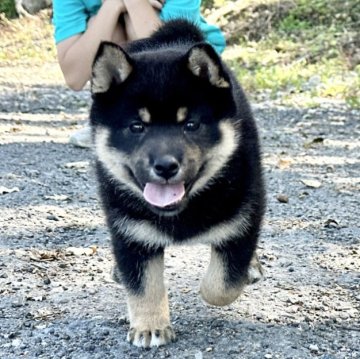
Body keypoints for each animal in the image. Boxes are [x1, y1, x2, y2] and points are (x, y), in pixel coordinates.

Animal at [90, 19, 264, 348]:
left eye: (191, 124)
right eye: (137, 126)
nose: (166, 166)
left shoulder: (243, 219)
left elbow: (223, 283)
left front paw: (216, 286)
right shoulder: (131, 231)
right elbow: (143, 285)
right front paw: (149, 326)